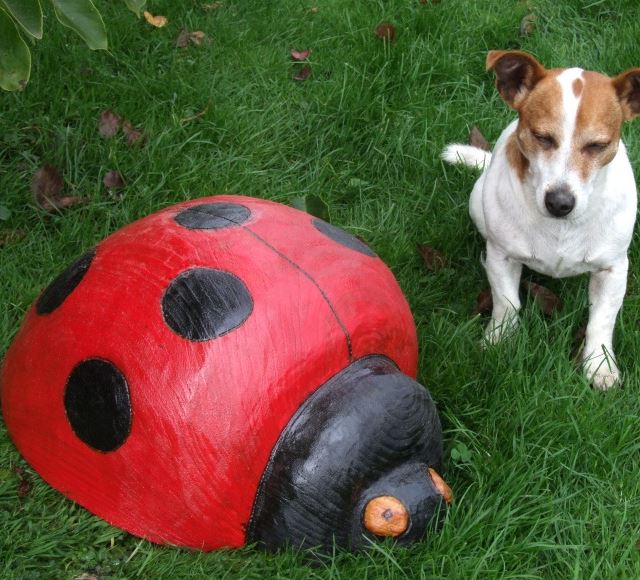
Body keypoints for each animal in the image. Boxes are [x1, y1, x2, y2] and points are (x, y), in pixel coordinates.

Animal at [442, 51, 640, 390]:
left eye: (598, 145)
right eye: (541, 137)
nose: (560, 202)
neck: (561, 227)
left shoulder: (613, 269)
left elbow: (601, 320)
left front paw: (599, 365)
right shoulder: (502, 257)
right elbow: (506, 302)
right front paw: (499, 340)